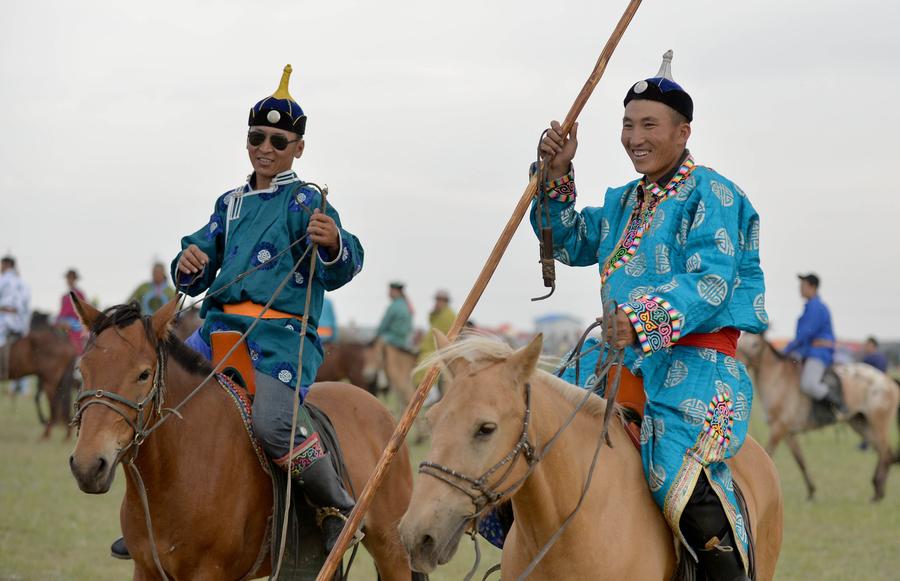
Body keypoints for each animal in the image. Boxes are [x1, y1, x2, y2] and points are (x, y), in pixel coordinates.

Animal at [67, 296, 418, 576]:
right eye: (82, 370)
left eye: (143, 374)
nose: (89, 465)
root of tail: (382, 410)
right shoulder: (146, 569)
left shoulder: (208, 572)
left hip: (391, 548)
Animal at [736, 334, 896, 500]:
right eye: (740, 343)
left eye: (755, 344)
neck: (778, 379)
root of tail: (888, 380)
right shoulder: (788, 433)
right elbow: (800, 461)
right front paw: (811, 491)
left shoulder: (779, 428)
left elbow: (768, 453)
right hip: (861, 424)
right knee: (882, 451)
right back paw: (877, 489)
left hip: (878, 424)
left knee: (885, 453)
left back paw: (878, 493)